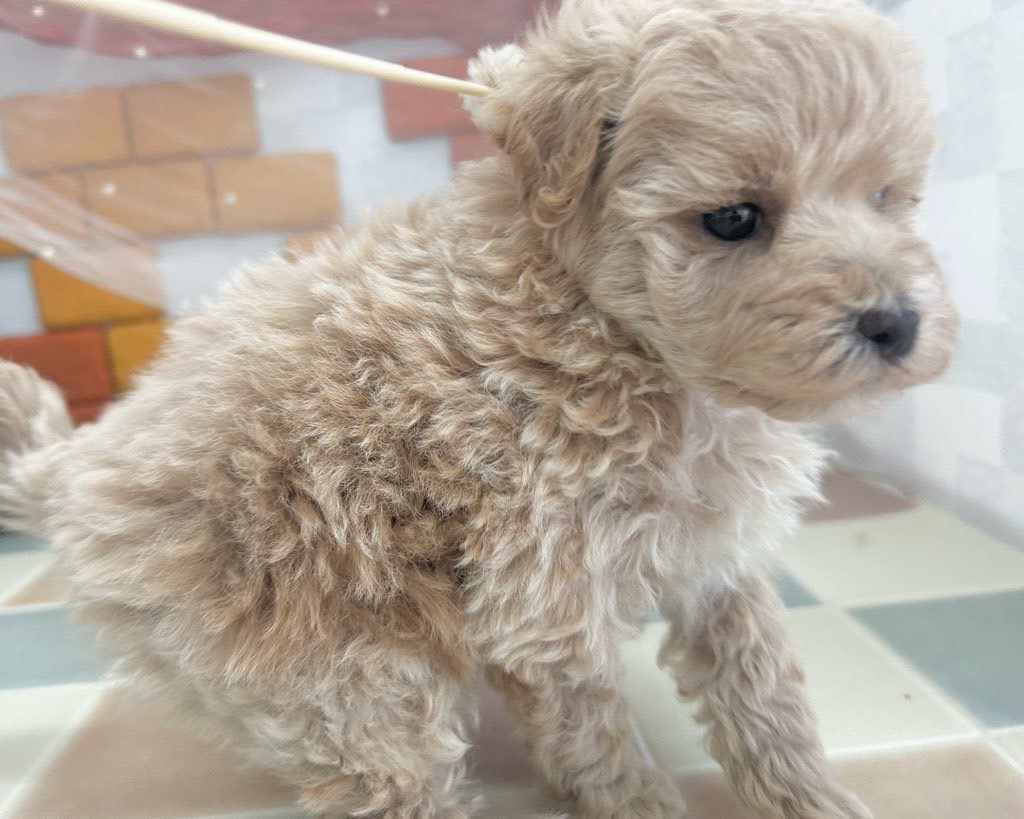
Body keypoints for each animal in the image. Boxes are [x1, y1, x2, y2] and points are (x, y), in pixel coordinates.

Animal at [0, 0, 957, 816]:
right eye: (732, 219)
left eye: (887, 198)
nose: (896, 322)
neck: (621, 338)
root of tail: (80, 468)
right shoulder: (546, 587)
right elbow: (594, 733)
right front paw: (640, 802)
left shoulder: (716, 559)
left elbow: (765, 696)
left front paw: (815, 797)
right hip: (332, 664)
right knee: (389, 763)